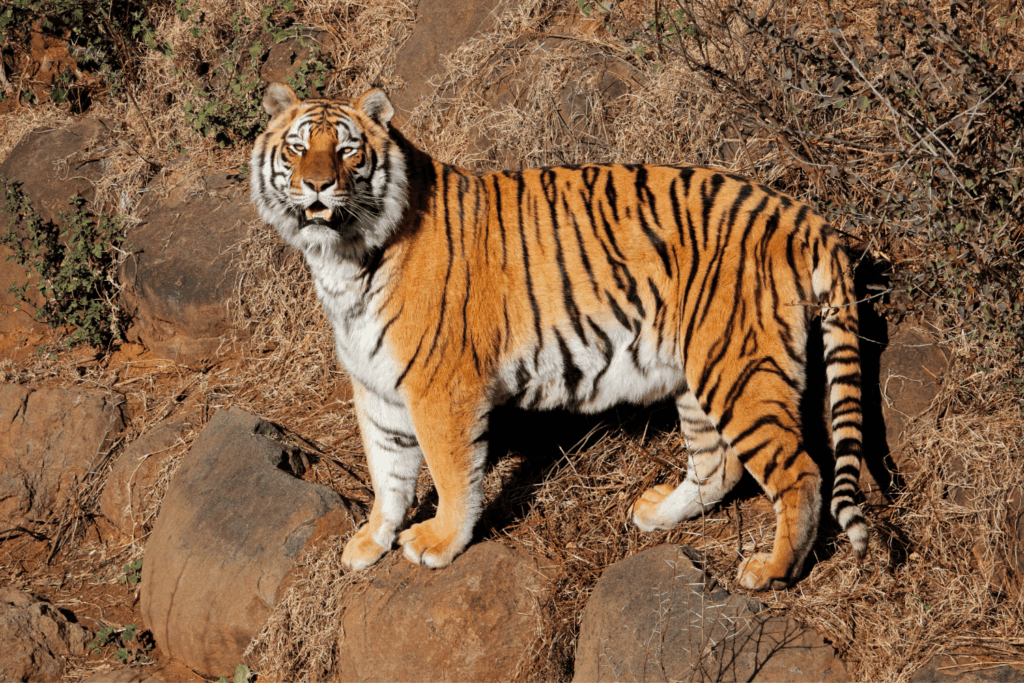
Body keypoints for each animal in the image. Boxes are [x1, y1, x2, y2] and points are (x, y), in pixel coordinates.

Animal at [249, 82, 869, 590]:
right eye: (298, 148)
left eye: (348, 151)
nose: (317, 186)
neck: (340, 260)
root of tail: (800, 214)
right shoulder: (377, 386)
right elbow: (388, 471)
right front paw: (370, 541)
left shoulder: (440, 387)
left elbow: (450, 474)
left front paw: (439, 543)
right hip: (700, 372)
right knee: (720, 464)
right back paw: (656, 513)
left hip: (737, 367)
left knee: (801, 472)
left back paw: (772, 571)